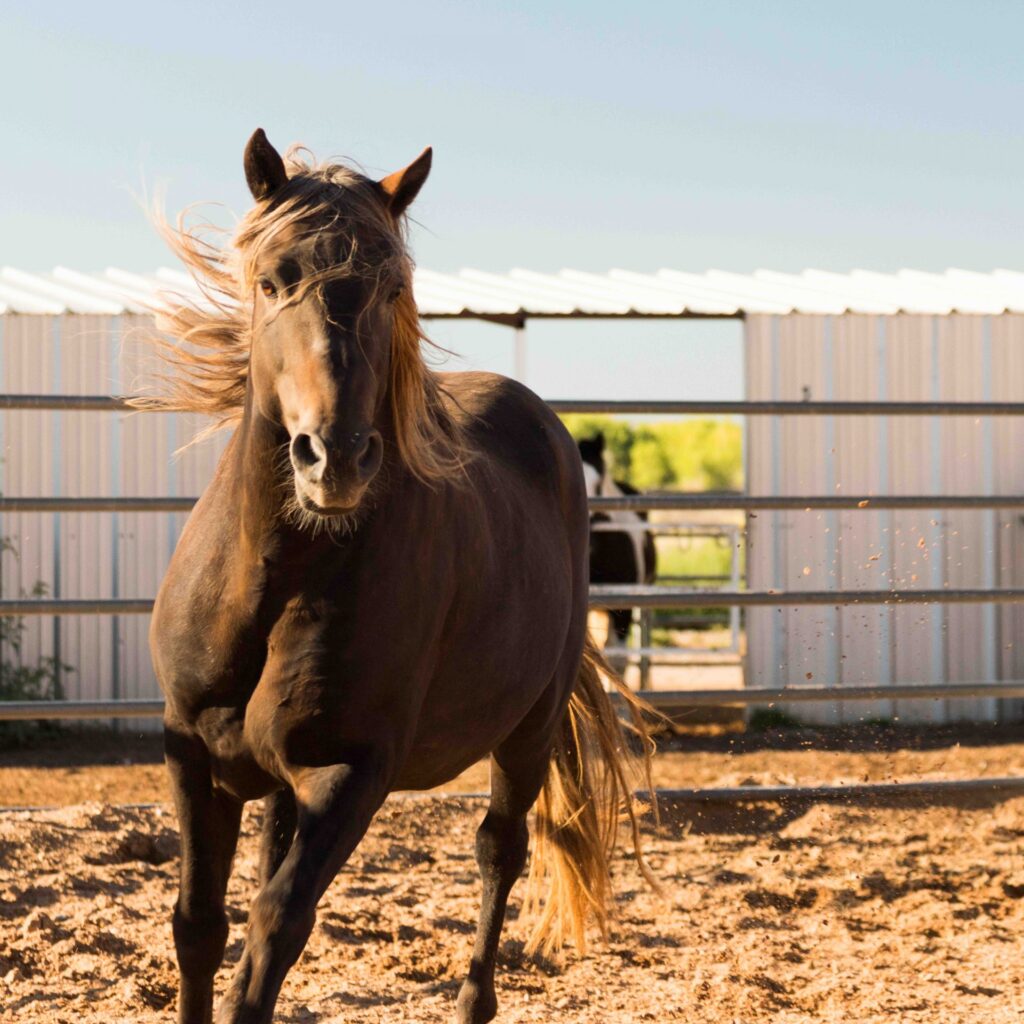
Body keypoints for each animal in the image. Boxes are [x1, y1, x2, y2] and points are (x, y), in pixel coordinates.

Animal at [146, 132, 647, 1024]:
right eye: (272, 279)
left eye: (392, 287)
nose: (336, 456)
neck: (277, 577)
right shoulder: (193, 752)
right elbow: (201, 928)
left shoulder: (353, 773)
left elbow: (275, 926)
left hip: (528, 730)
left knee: (498, 852)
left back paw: (475, 997)